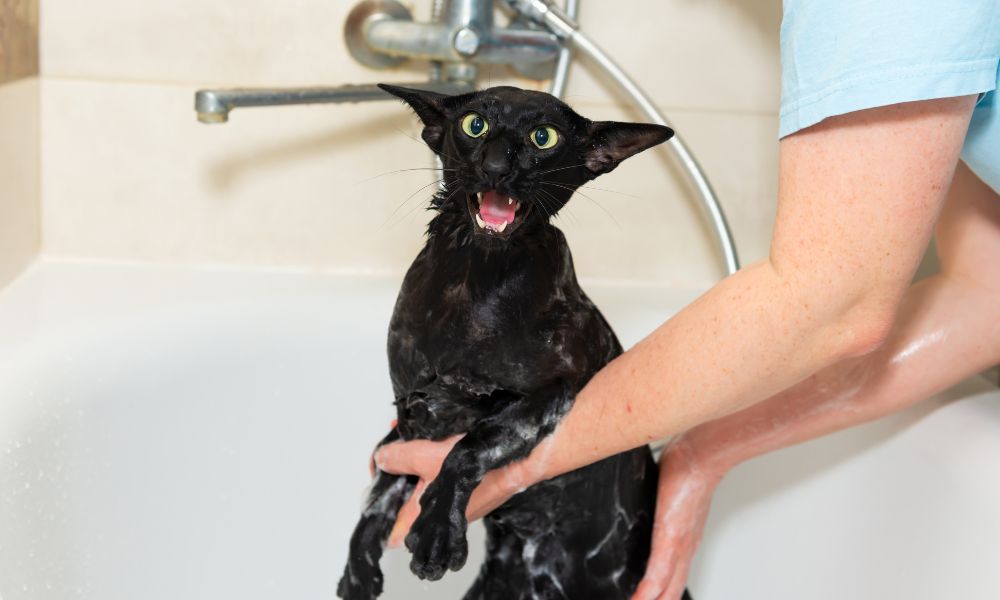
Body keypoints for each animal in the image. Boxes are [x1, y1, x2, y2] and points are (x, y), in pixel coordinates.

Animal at [340, 85, 692, 600]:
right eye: (474, 125)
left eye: (543, 137)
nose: (496, 167)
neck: (473, 284)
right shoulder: (411, 409)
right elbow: (383, 485)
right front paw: (360, 563)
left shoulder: (552, 393)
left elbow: (472, 445)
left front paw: (436, 530)